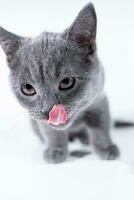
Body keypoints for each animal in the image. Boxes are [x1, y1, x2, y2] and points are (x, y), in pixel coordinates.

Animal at [0, 2, 119, 162]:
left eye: (67, 82)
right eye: (28, 88)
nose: (47, 111)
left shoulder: (99, 99)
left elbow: (101, 125)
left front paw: (105, 148)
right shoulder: (40, 121)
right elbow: (51, 132)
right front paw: (56, 150)